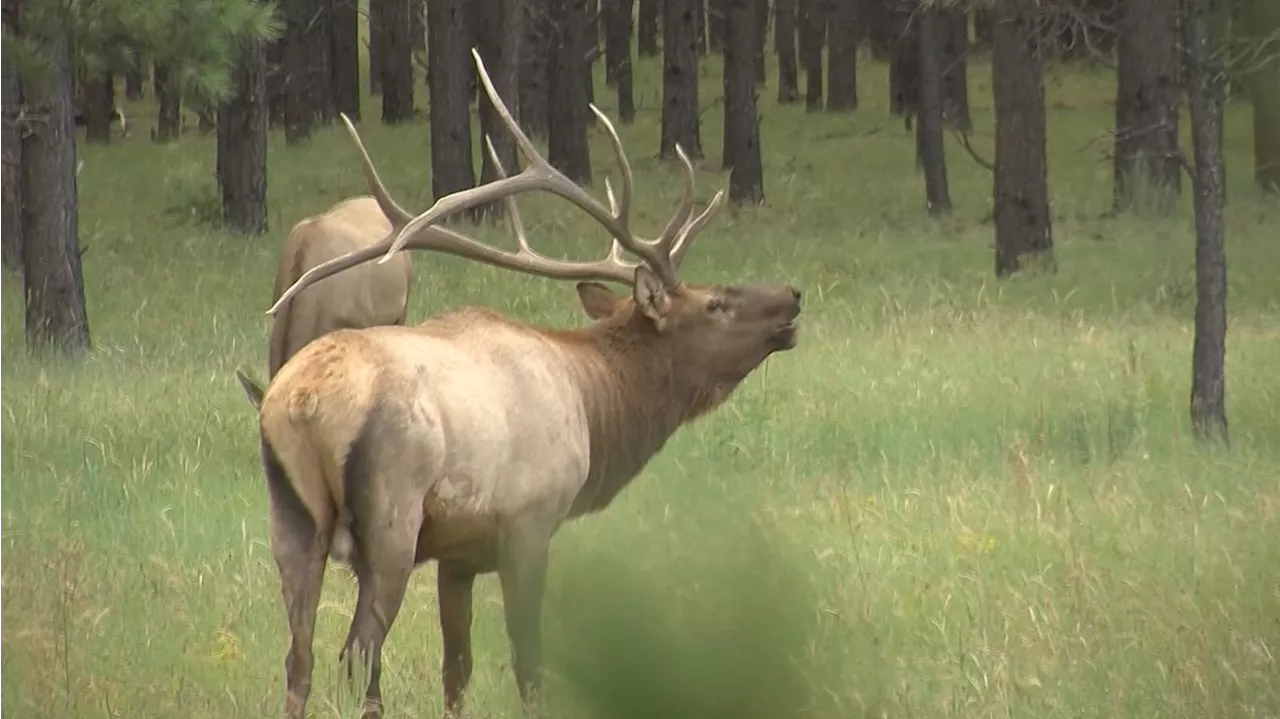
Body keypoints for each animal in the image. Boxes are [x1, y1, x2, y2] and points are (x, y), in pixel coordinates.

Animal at [252, 47, 798, 711]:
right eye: (716, 303)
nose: (792, 296)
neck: (592, 402)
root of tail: (300, 404)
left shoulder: (458, 556)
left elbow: (456, 670)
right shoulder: (530, 523)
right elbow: (529, 663)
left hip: (291, 519)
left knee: (298, 659)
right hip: (391, 518)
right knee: (358, 653)